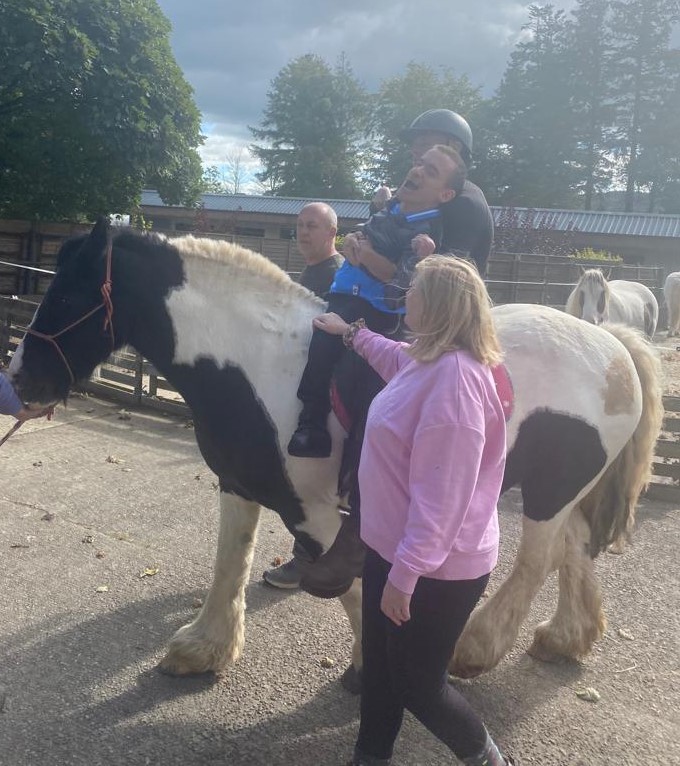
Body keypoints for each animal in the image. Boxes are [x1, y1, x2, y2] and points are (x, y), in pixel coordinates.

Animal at [7, 219, 660, 680]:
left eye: (66, 297)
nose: (20, 379)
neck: (253, 362)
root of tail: (611, 344)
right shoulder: (242, 483)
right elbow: (229, 560)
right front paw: (204, 650)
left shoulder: (314, 510)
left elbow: (346, 584)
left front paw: (372, 668)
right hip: (568, 488)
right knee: (575, 546)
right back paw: (566, 639)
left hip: (549, 489)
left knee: (539, 557)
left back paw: (475, 649)